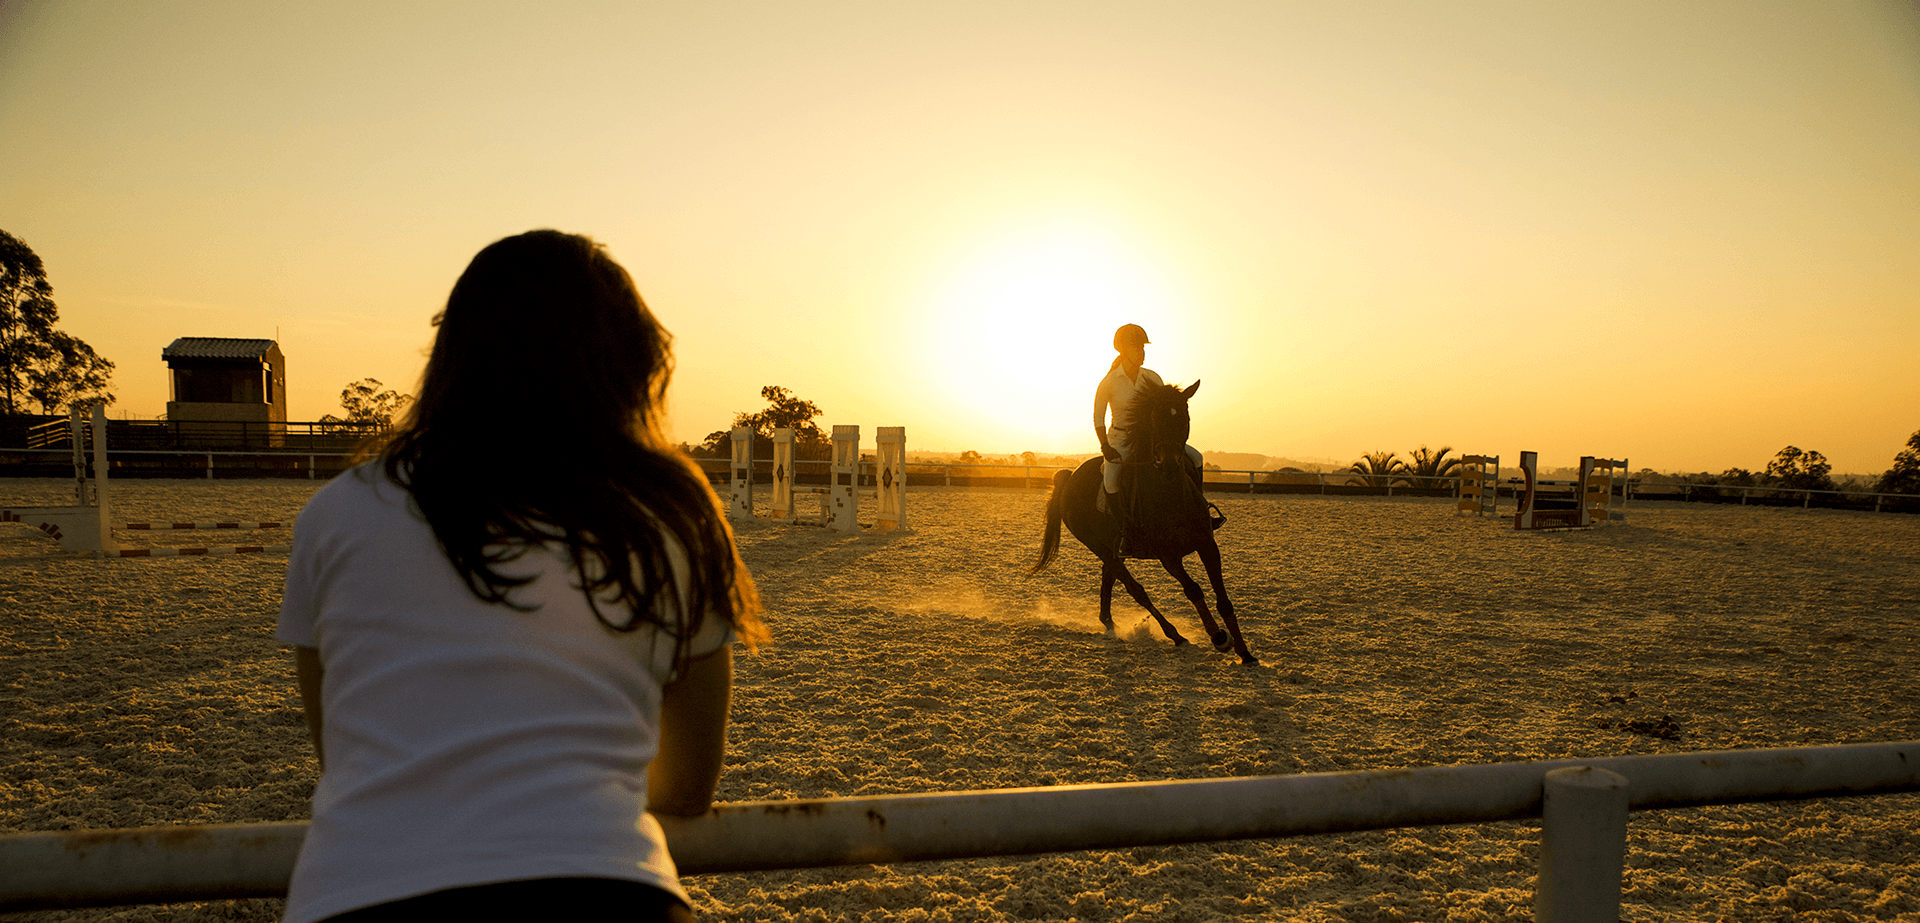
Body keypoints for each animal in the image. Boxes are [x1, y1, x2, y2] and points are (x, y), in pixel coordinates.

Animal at [1036, 379, 1259, 660]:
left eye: (1184, 417)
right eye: (1154, 420)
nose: (1168, 465)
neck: (1171, 495)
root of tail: (1069, 476)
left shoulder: (1207, 544)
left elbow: (1224, 599)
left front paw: (1245, 653)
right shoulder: (1168, 556)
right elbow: (1193, 589)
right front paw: (1219, 637)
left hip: (1112, 548)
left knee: (1109, 577)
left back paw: (1109, 623)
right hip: (1096, 545)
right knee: (1134, 588)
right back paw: (1174, 634)